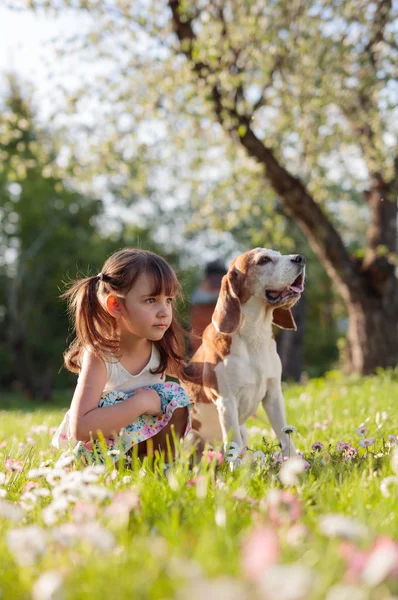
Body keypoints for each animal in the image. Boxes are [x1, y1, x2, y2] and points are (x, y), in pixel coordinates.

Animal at [185, 247, 306, 454]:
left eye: (278, 253)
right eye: (264, 260)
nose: (300, 258)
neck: (254, 336)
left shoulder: (273, 395)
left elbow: (285, 436)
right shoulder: (226, 402)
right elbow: (234, 445)